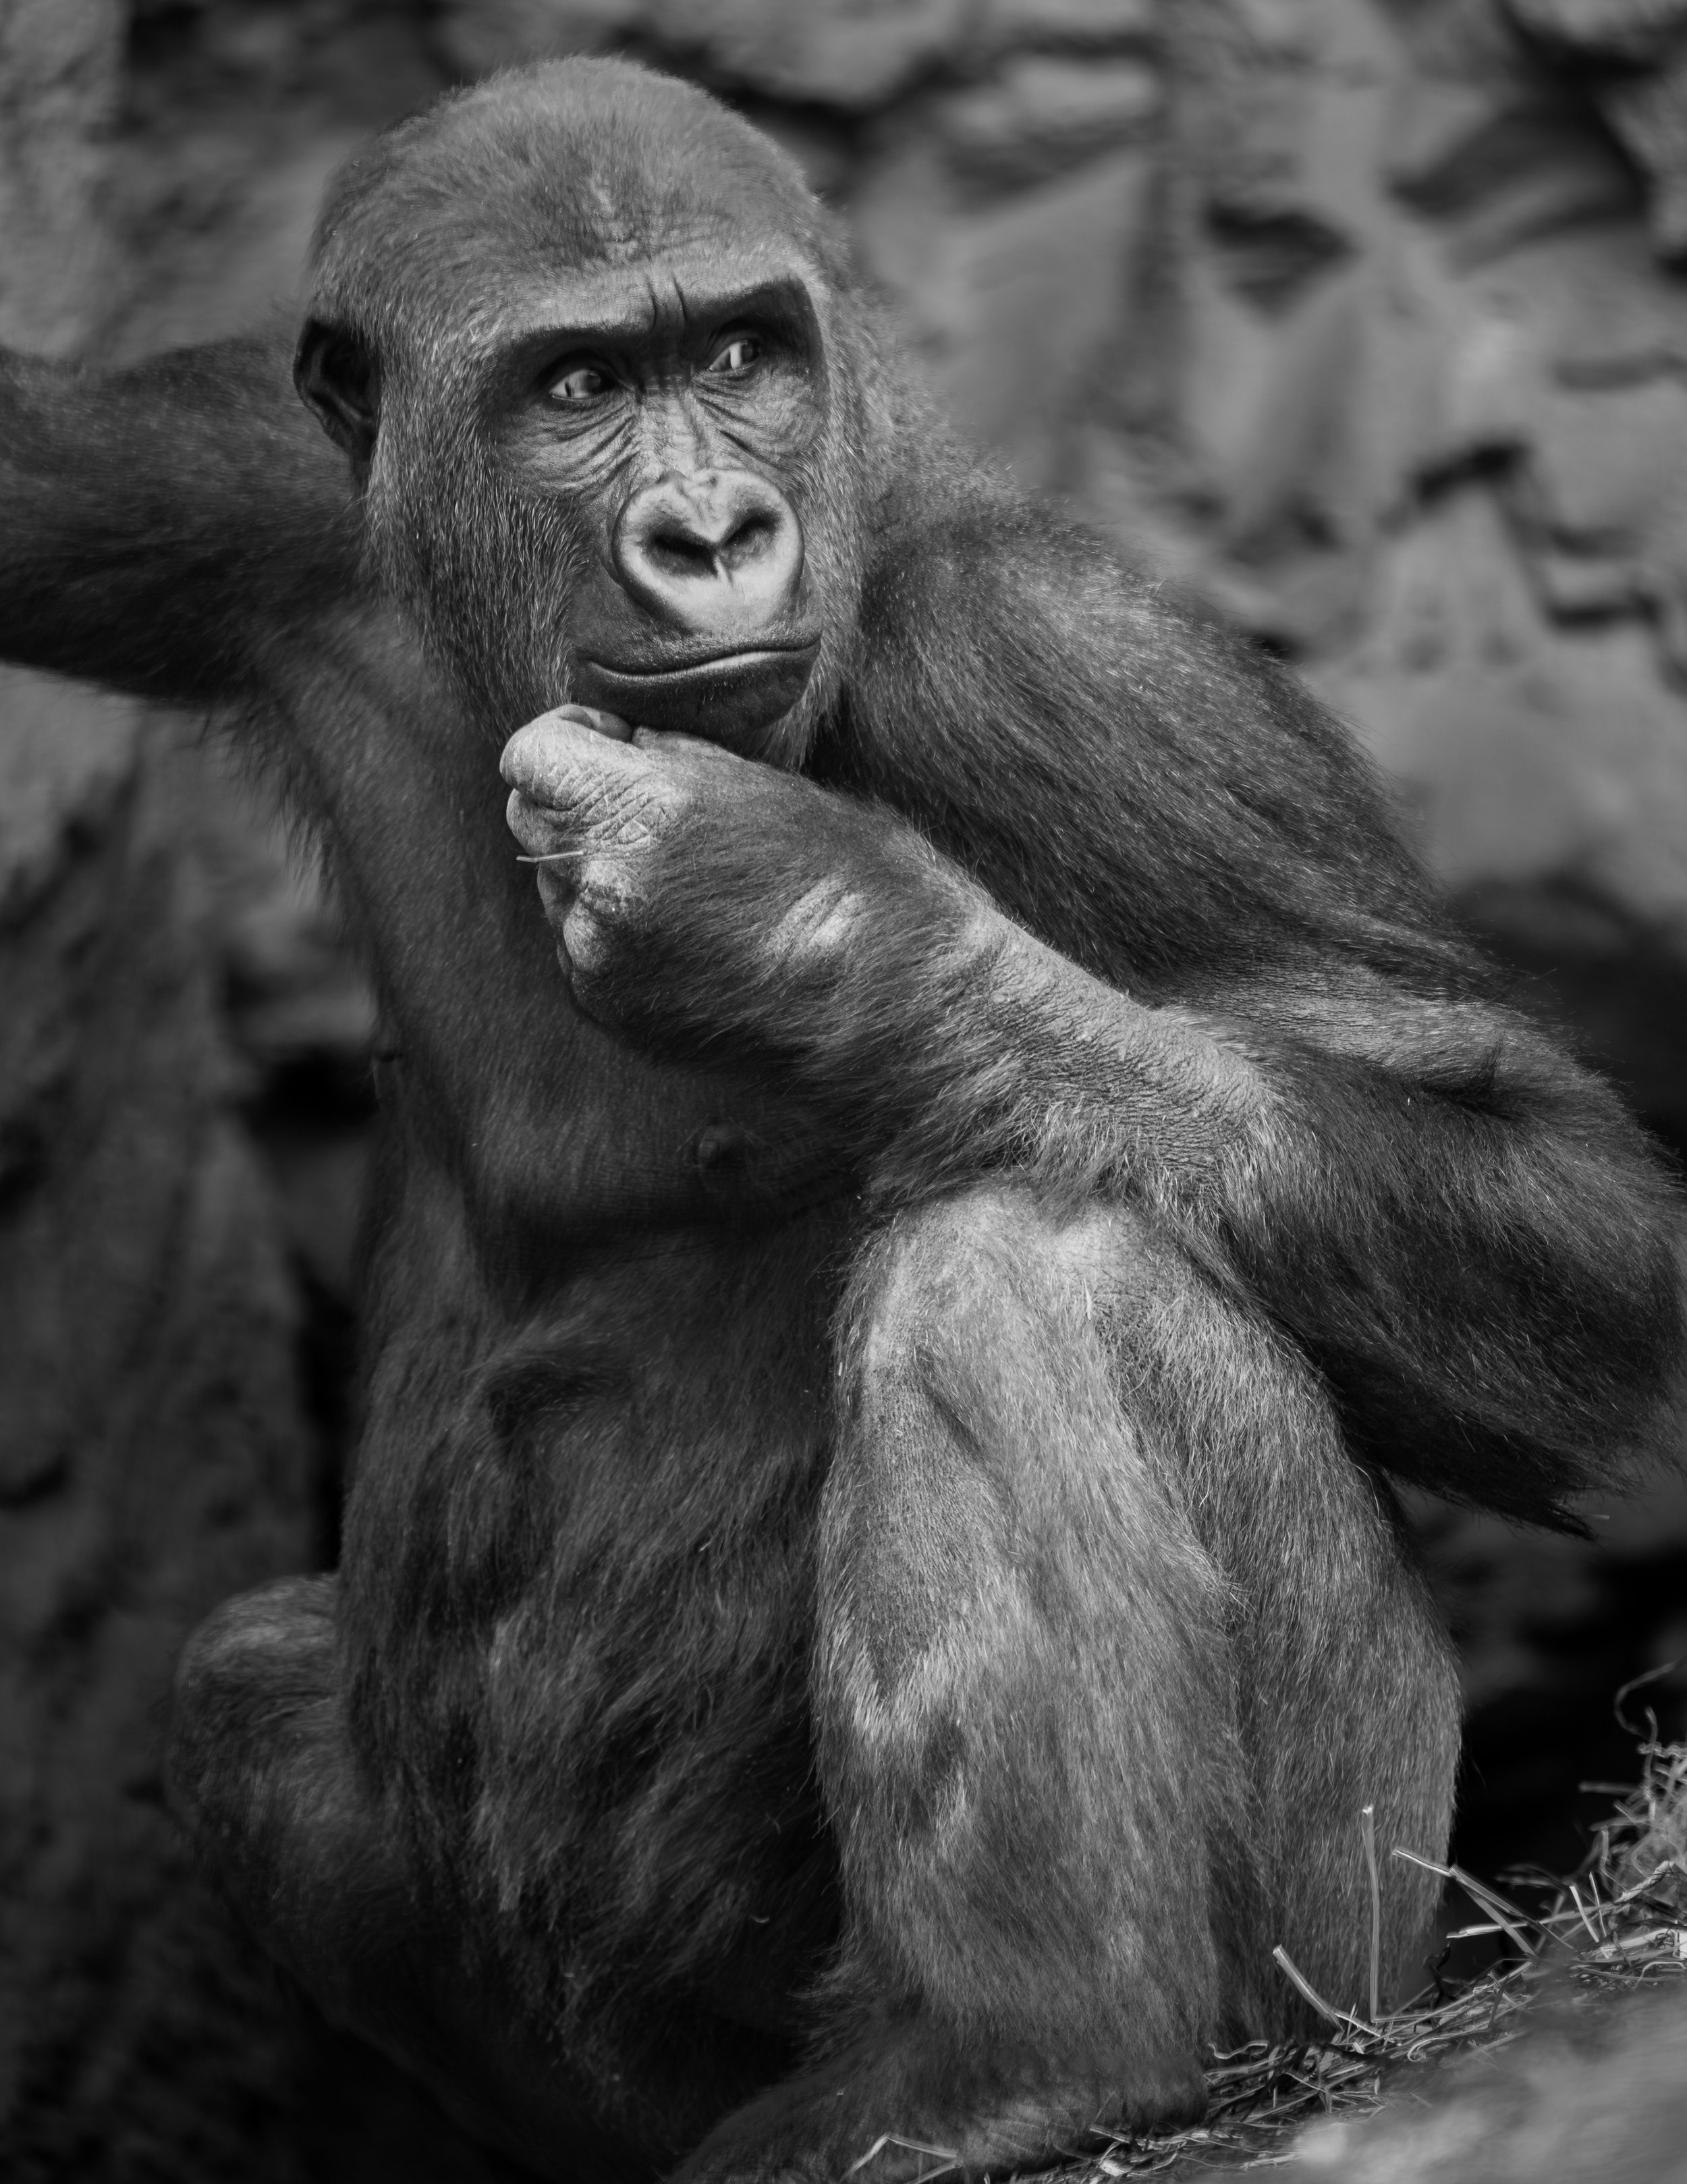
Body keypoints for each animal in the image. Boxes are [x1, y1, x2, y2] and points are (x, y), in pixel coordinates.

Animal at [0, 54, 1678, 2184]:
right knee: (250, 1699)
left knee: (1020, 1257)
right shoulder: (259, 489)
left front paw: (818, 926)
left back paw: (1033, 2058)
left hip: (1344, 1953)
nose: (714, 527)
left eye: (739, 354)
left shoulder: (1067, 674)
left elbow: (1549, 1188)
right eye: (577, 384)